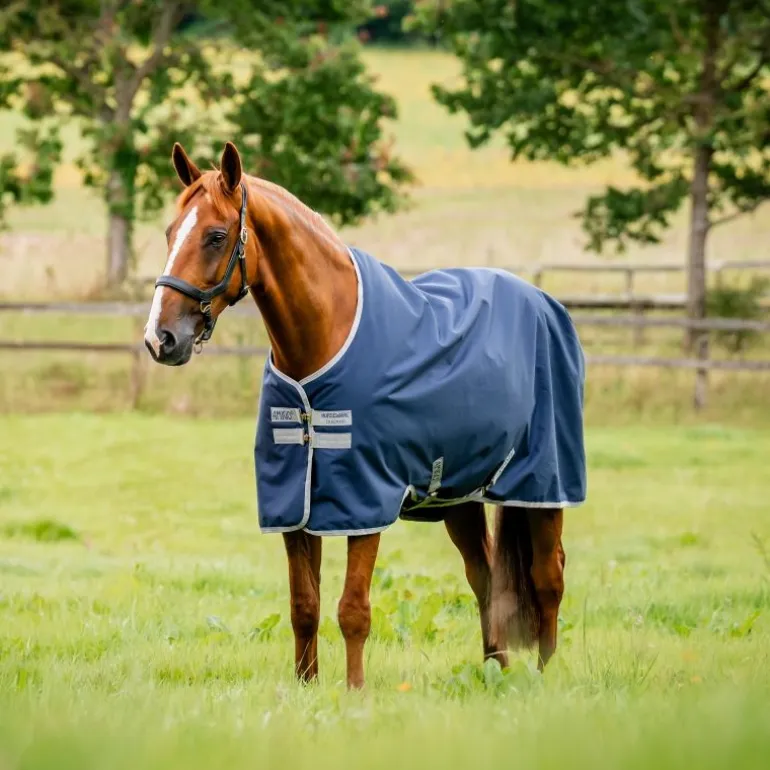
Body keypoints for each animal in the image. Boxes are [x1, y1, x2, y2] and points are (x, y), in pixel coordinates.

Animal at [145, 141, 586, 689]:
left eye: (216, 235)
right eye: (170, 233)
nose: (160, 338)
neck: (324, 341)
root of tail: (544, 303)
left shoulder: (364, 498)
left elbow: (353, 609)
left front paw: (355, 693)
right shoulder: (295, 502)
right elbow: (304, 606)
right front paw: (306, 687)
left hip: (542, 484)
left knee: (548, 576)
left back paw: (545, 675)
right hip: (458, 495)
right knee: (484, 577)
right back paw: (495, 670)